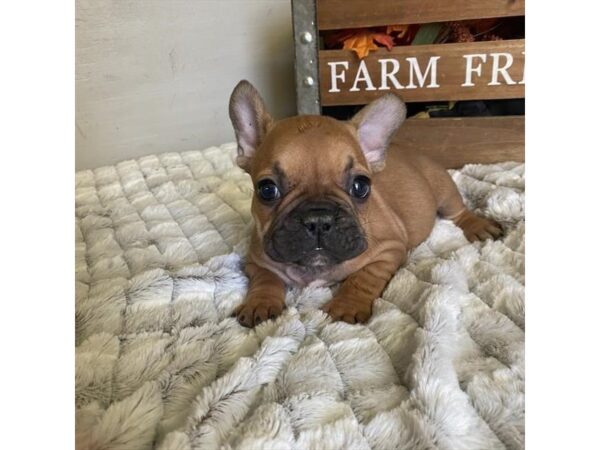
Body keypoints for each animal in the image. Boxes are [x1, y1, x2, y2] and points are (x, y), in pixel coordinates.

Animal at [227, 81, 500, 326]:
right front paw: (259, 303)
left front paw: (346, 305)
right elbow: (265, 279)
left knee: (458, 212)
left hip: (444, 190)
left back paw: (479, 226)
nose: (318, 219)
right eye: (267, 190)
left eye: (360, 186)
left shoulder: (389, 249)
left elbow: (363, 277)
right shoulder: (255, 259)